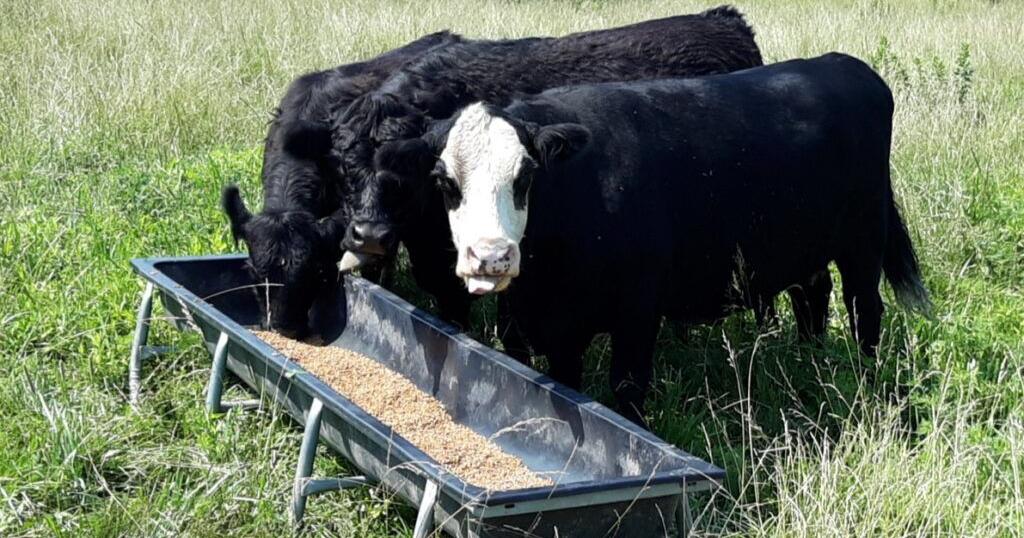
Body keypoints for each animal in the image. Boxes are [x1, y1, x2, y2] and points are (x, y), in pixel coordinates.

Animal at [376, 53, 931, 425]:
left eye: (526, 175)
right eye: (445, 181)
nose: (490, 257)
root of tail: (844, 64)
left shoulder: (639, 309)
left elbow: (626, 388)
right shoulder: (549, 329)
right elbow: (567, 384)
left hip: (863, 242)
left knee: (864, 312)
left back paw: (861, 379)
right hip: (802, 247)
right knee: (813, 299)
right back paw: (810, 364)